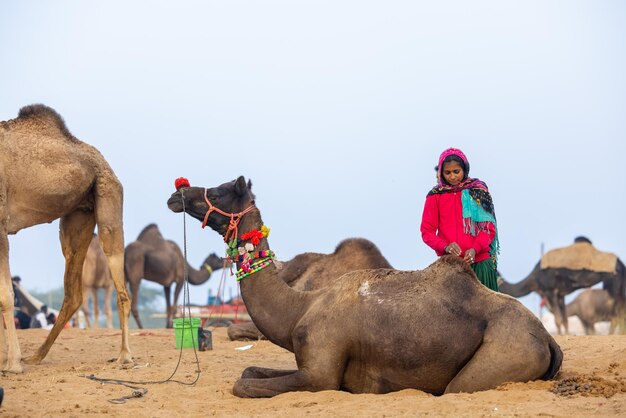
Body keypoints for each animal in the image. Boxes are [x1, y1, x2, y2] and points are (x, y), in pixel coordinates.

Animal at [0, 104, 132, 372]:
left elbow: (6, 295)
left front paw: (12, 364)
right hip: (77, 218)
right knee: (74, 293)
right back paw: (36, 355)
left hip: (108, 195)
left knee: (120, 288)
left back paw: (124, 356)